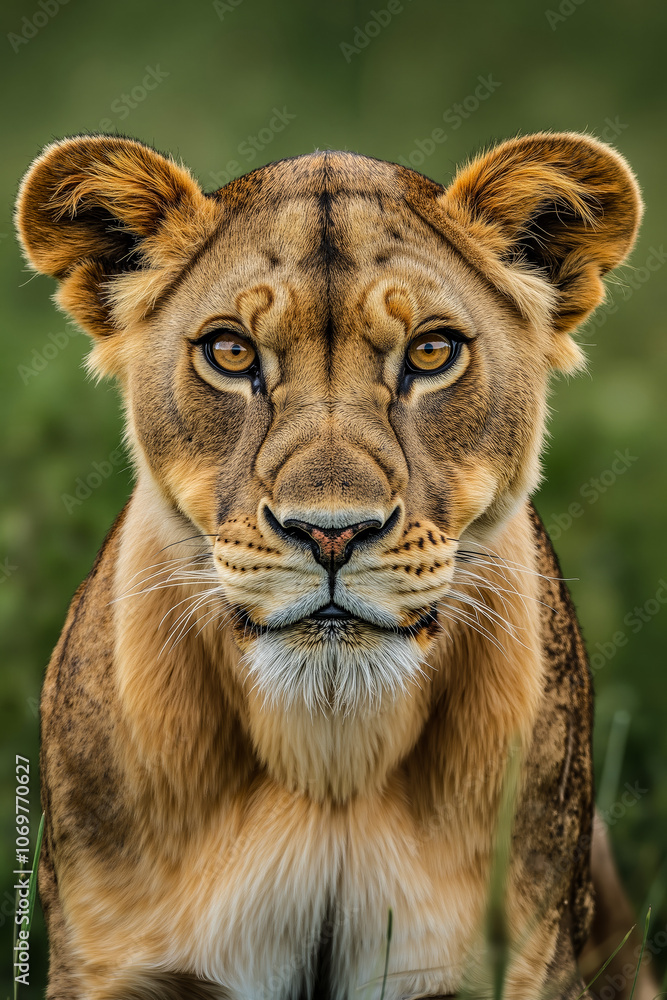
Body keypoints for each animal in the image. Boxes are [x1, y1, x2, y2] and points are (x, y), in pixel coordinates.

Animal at [15, 131, 651, 1000]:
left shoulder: (519, 963)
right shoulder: (109, 964)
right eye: (230, 352)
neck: (328, 743)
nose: (330, 535)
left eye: (430, 351)